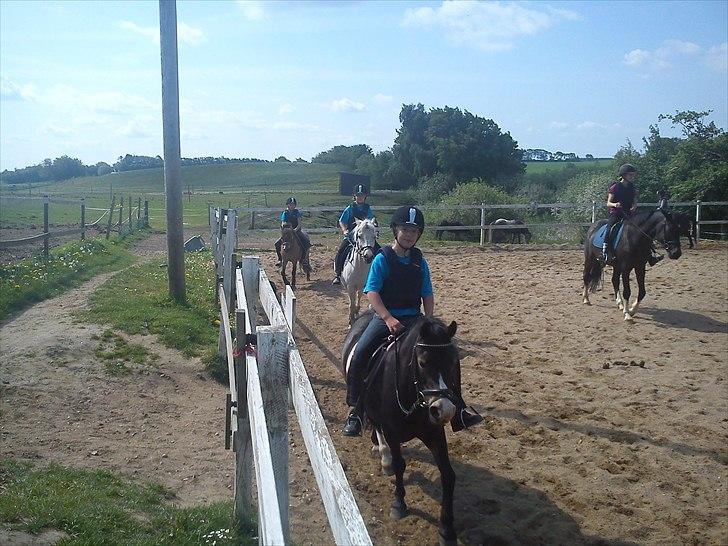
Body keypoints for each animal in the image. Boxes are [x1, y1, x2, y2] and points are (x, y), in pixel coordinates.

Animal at [342, 310, 460, 544]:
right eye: (423, 362)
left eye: (453, 362)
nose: (444, 409)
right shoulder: (392, 431)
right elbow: (399, 465)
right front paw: (399, 504)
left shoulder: (435, 433)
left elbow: (448, 475)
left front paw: (447, 529)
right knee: (375, 426)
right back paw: (383, 456)